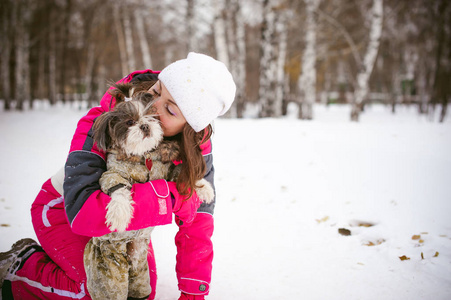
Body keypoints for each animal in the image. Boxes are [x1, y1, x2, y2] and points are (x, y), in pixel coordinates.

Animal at [84, 81, 215, 298]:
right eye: (129, 122)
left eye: (152, 116)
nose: (145, 125)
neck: (143, 155)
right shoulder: (113, 174)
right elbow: (118, 189)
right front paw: (119, 214)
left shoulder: (167, 170)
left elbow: (181, 173)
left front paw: (204, 187)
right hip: (108, 269)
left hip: (141, 275)